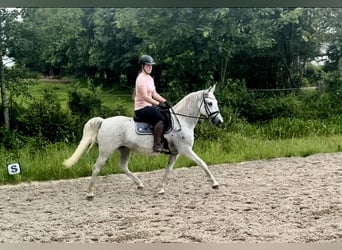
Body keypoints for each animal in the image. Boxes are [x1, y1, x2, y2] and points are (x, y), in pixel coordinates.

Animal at [63, 85, 224, 198]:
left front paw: (160, 189)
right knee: (97, 168)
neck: (182, 120)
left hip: (125, 149)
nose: (219, 121)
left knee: (122, 166)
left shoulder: (175, 153)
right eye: (210, 103)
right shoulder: (186, 150)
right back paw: (90, 193)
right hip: (106, 151)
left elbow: (168, 171)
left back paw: (140, 184)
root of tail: (103, 121)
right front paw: (215, 184)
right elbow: (202, 164)